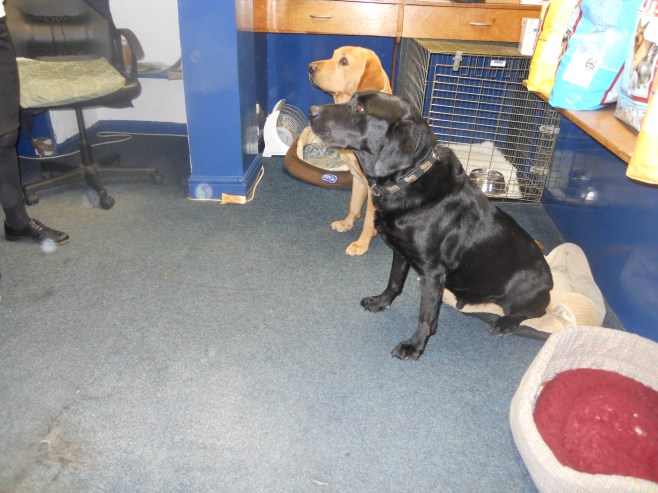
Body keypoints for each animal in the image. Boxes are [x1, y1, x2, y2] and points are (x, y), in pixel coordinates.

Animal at [308, 46, 392, 256]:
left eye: (344, 61)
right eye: (333, 55)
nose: (310, 67)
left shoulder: (375, 189)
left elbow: (369, 220)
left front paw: (362, 243)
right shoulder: (357, 178)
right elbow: (353, 206)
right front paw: (346, 224)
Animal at [309, 92, 553, 360]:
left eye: (361, 108)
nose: (311, 111)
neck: (406, 181)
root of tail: (549, 282)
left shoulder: (433, 273)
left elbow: (426, 317)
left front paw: (414, 346)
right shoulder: (400, 252)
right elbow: (394, 283)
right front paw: (381, 302)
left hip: (520, 293)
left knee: (535, 312)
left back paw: (505, 324)